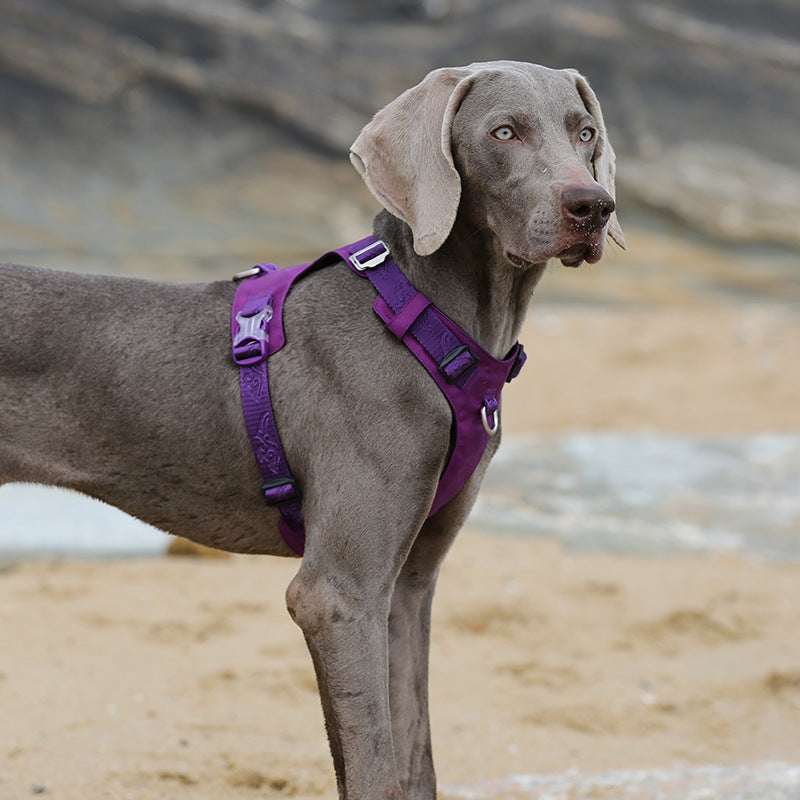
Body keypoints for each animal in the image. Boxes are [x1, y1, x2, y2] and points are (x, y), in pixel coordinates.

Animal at [0, 59, 624, 796]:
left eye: (584, 132)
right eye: (505, 132)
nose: (593, 206)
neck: (426, 324)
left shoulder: (407, 588)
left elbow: (415, 757)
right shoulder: (337, 596)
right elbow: (376, 769)